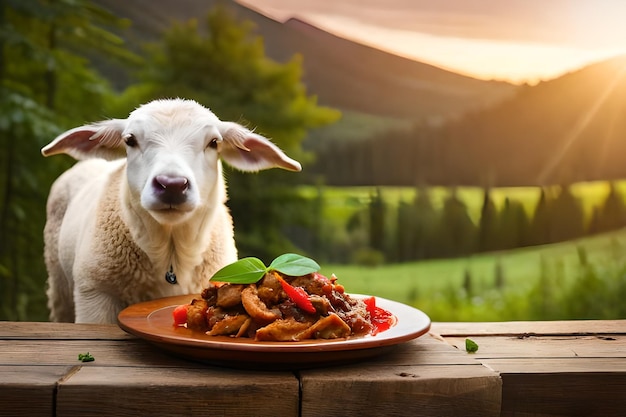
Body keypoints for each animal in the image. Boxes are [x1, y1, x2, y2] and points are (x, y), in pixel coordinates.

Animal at [41, 99, 300, 324]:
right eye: (130, 140)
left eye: (213, 142)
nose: (172, 185)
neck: (171, 256)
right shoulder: (95, 295)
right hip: (59, 283)